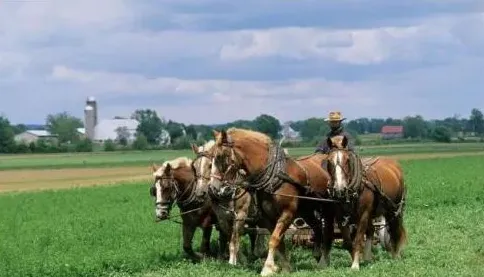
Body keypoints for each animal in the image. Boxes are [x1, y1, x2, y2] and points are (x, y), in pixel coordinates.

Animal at [208, 127, 336, 274]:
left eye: (220, 156)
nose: (213, 188)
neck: (276, 176)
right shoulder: (266, 217)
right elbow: (279, 242)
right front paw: (285, 267)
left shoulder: (287, 213)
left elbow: (274, 239)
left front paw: (268, 268)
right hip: (307, 210)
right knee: (317, 227)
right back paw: (317, 254)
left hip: (327, 208)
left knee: (328, 231)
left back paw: (323, 260)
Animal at [324, 135, 406, 268]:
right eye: (329, 161)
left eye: (347, 160)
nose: (340, 188)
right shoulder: (340, 217)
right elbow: (348, 241)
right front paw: (356, 259)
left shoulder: (363, 215)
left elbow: (358, 239)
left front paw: (355, 265)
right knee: (372, 230)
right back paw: (368, 258)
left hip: (394, 209)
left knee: (395, 229)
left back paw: (396, 255)